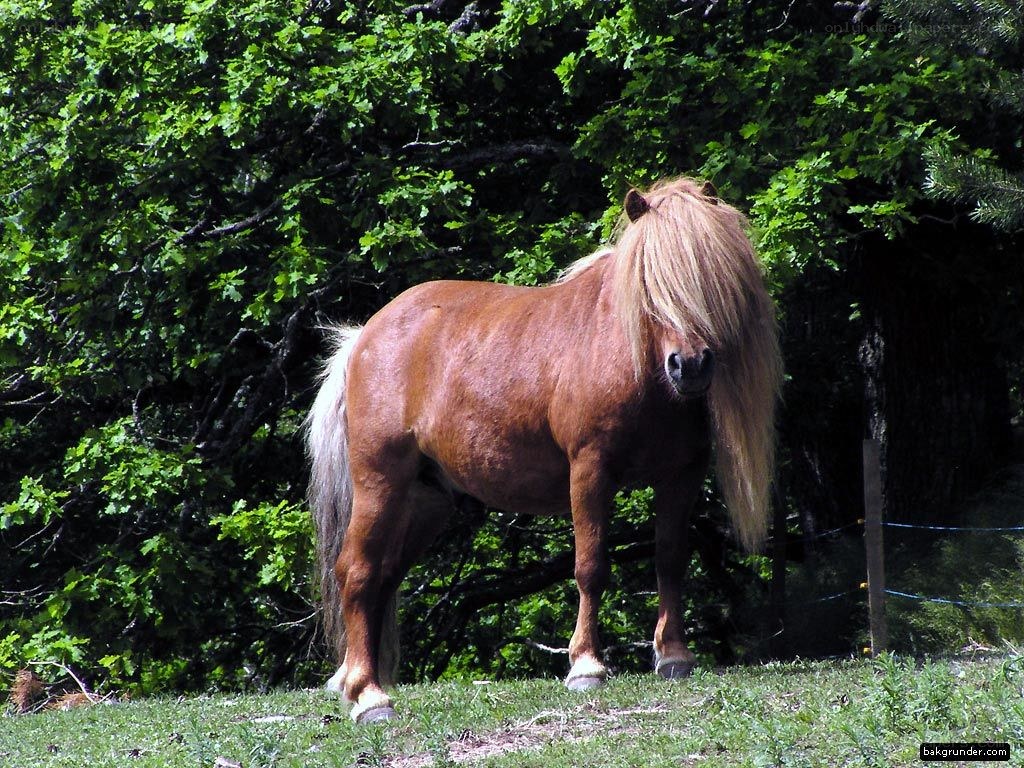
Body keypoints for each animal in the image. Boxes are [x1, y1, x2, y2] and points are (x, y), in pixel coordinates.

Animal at [307, 176, 782, 723]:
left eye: (709, 280)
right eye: (649, 283)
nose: (690, 365)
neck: (624, 356)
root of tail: (364, 336)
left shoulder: (680, 475)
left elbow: (670, 558)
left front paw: (674, 655)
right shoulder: (590, 470)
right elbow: (591, 566)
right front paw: (586, 666)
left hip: (425, 502)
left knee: (382, 579)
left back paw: (357, 681)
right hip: (379, 484)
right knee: (357, 573)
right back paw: (368, 695)